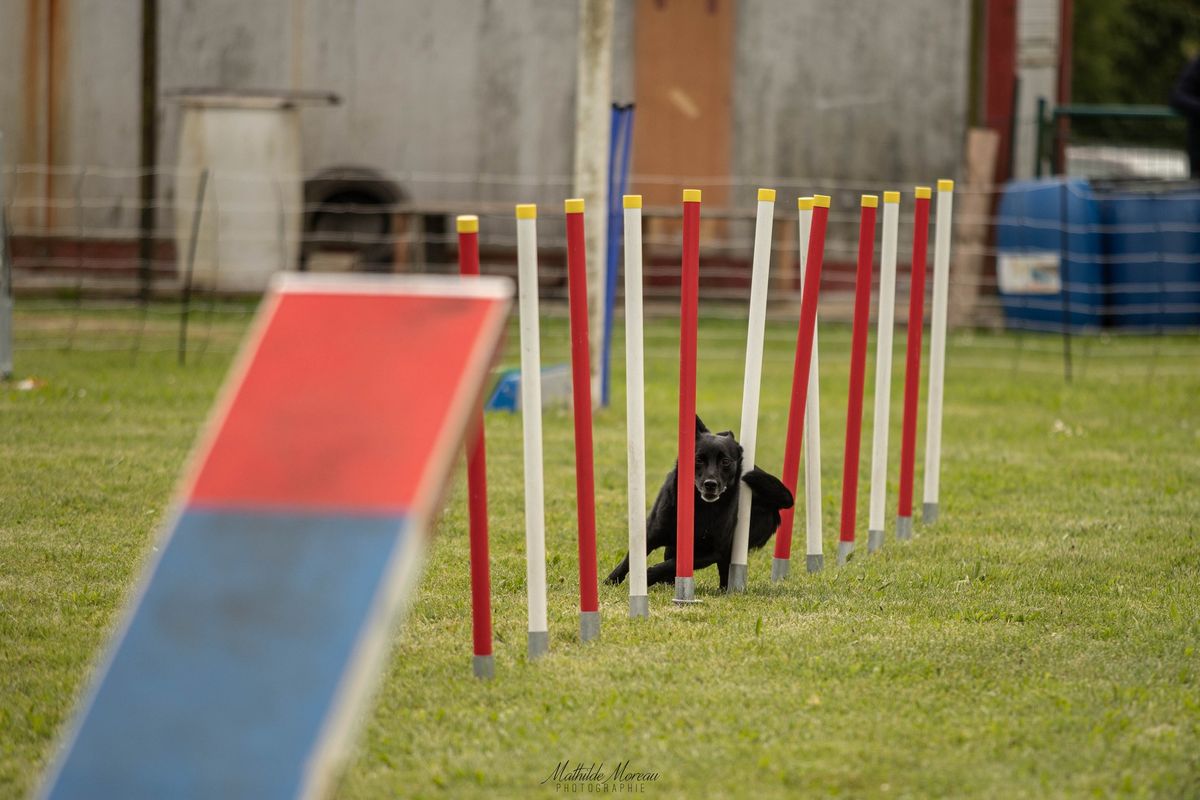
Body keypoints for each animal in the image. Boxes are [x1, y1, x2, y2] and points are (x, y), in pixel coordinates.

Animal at [604, 417, 792, 592]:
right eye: (699, 459)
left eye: (725, 461)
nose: (710, 484)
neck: (700, 507)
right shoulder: (652, 533)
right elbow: (628, 560)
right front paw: (611, 581)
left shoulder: (713, 551)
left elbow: (673, 564)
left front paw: (650, 575)